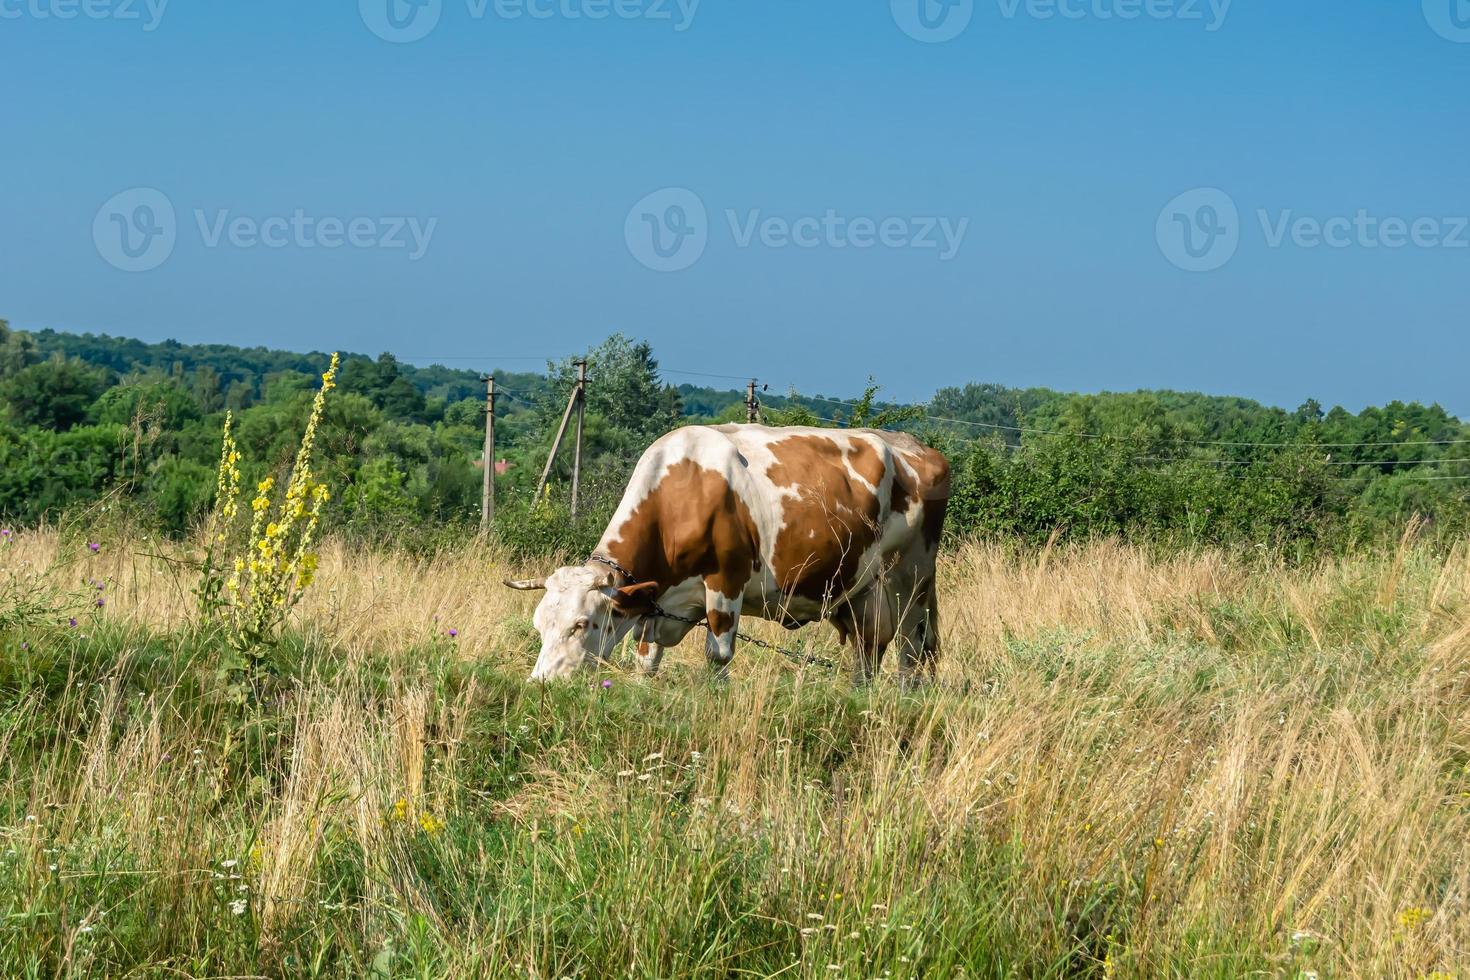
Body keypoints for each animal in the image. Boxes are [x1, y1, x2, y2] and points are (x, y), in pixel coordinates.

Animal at [505, 426, 952, 687]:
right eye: (539, 625)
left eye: (582, 624)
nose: (541, 683)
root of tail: (921, 448)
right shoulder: (656, 602)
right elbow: (646, 659)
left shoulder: (726, 580)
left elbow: (717, 655)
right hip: (862, 591)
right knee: (868, 650)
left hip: (911, 580)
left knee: (910, 651)